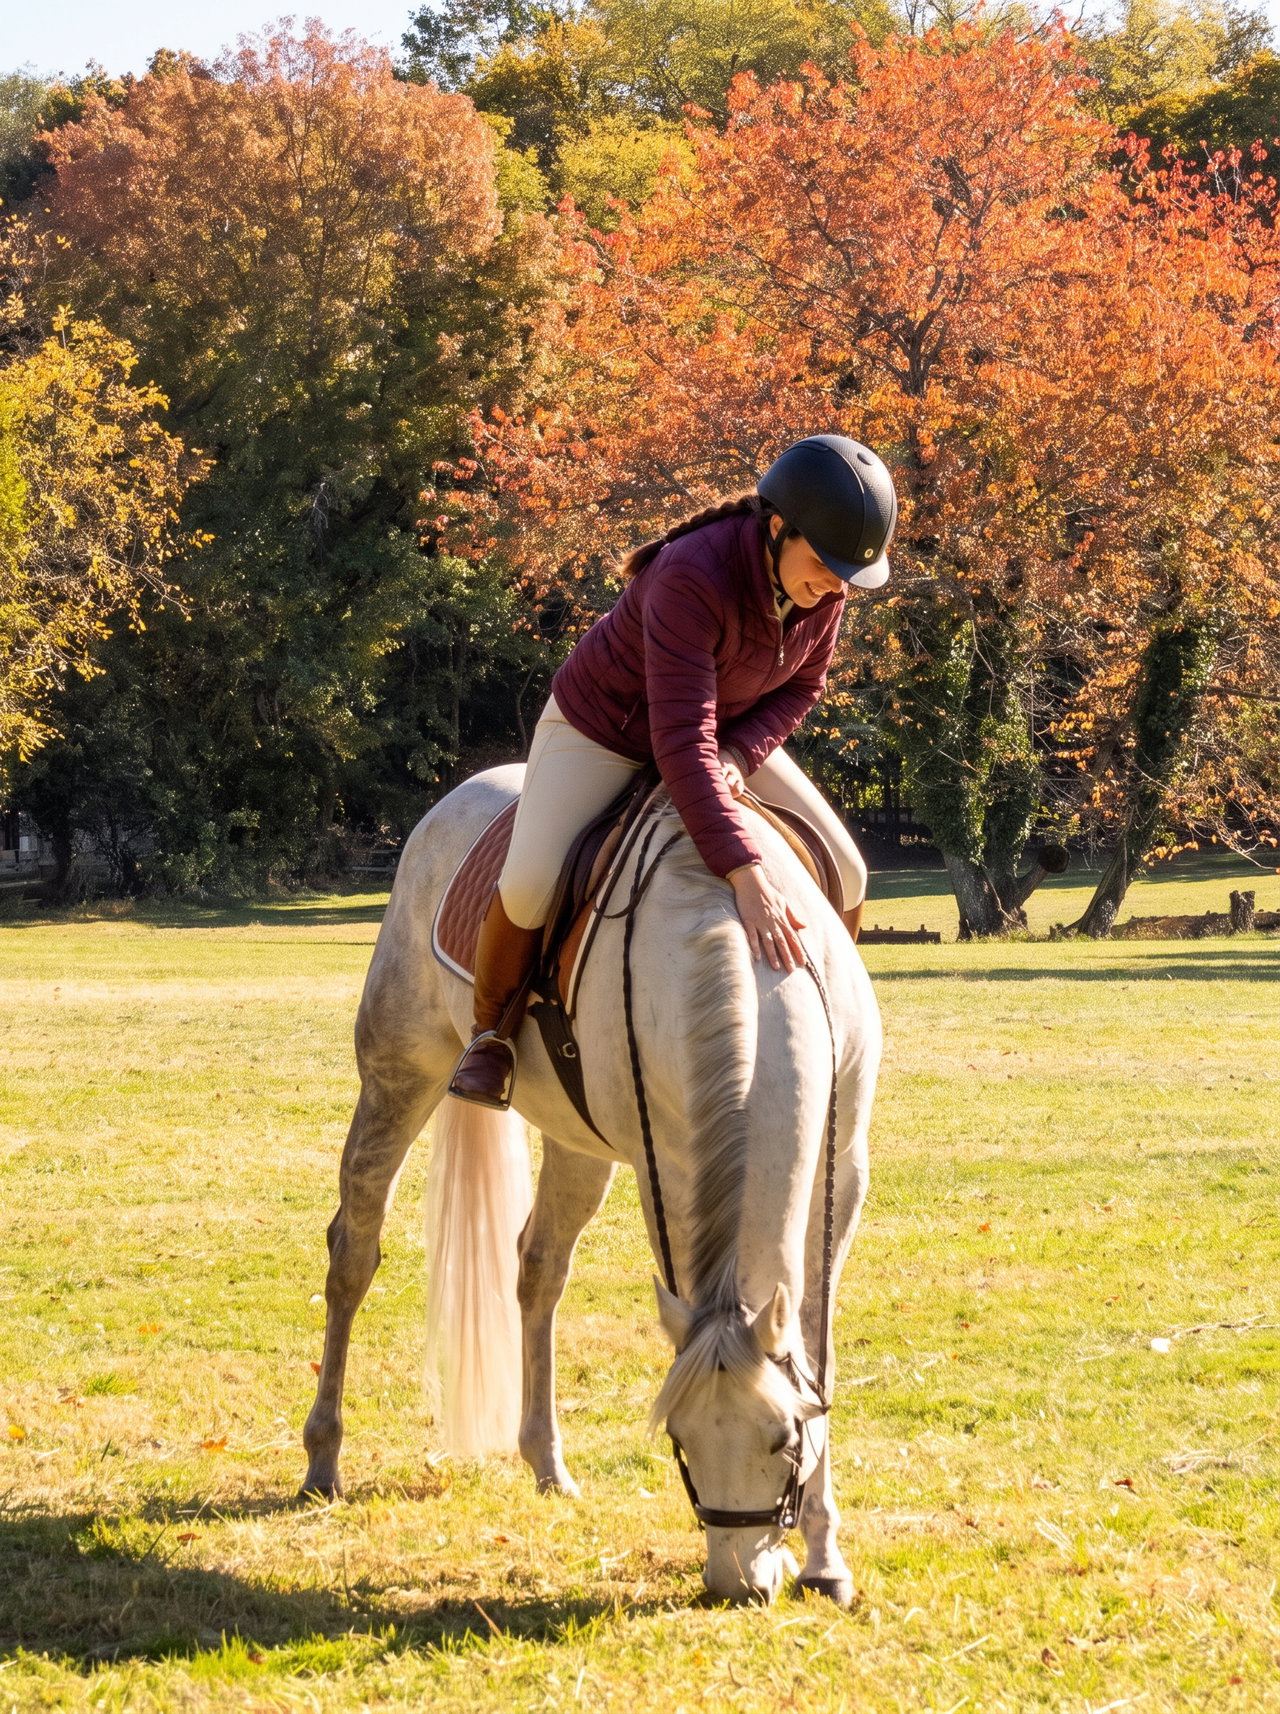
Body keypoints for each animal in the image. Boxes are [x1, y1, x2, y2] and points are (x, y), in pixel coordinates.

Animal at [300, 764, 881, 1605]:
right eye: (679, 1439)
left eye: (784, 1439)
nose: (736, 1587)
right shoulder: (665, 1172)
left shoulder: (843, 1172)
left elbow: (813, 1345)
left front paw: (825, 1558)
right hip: (397, 1074)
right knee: (353, 1252)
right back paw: (322, 1460)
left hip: (579, 1147)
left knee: (538, 1270)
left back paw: (547, 1464)